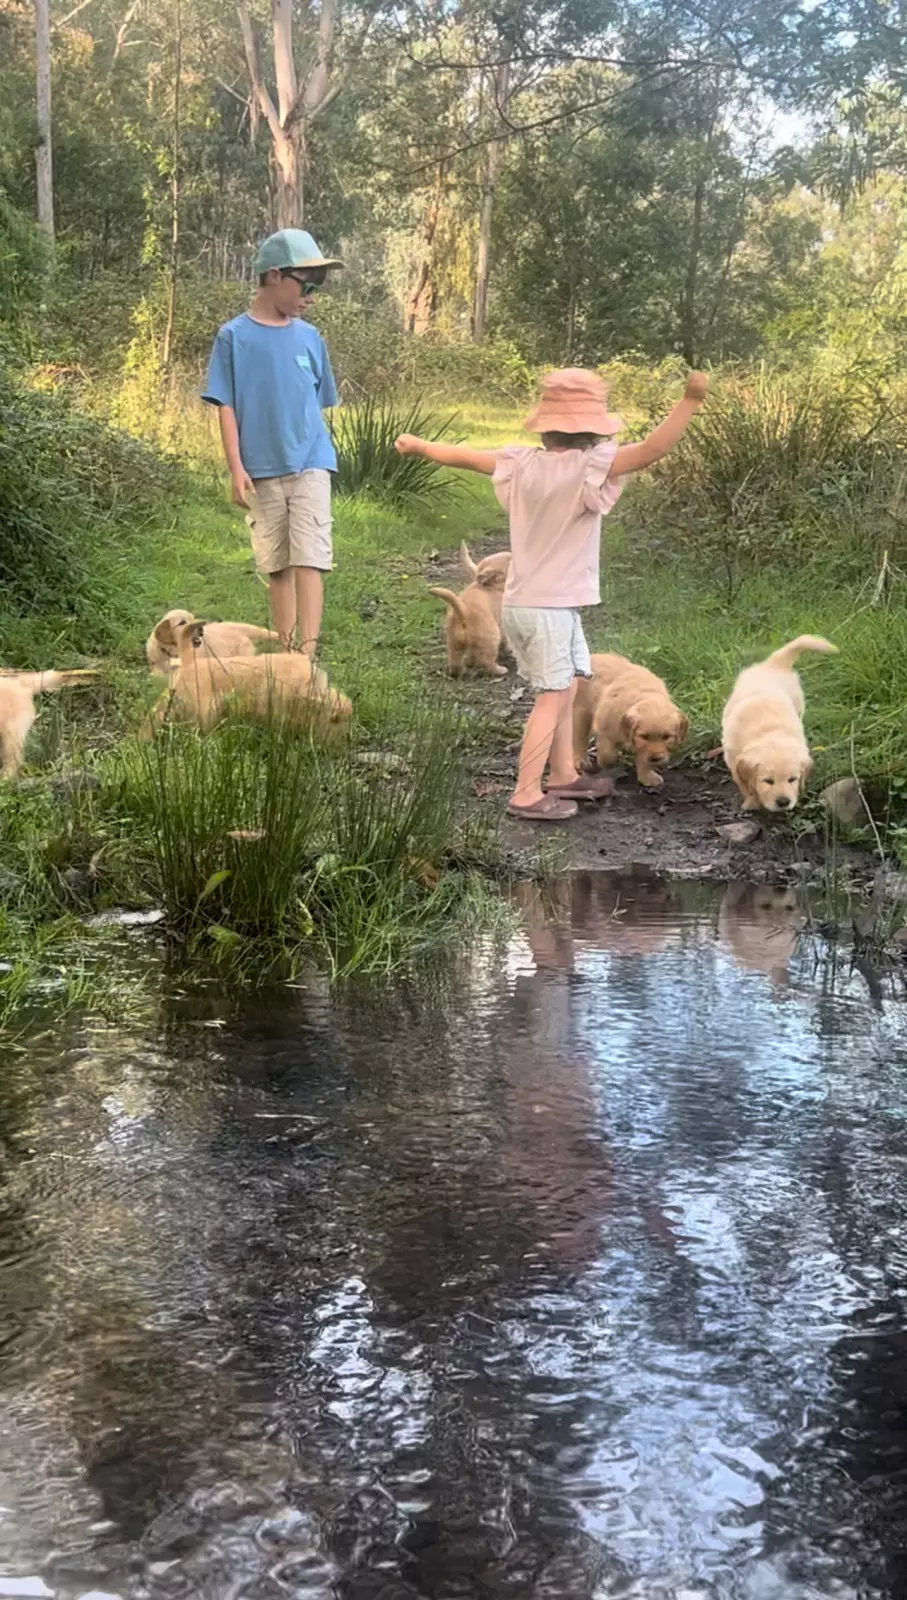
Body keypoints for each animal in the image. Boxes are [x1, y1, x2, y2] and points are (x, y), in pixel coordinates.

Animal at [146, 610, 280, 676]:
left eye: (193, 618)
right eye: (182, 622)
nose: (201, 629)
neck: (173, 652)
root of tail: (238, 628)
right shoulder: (154, 662)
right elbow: (156, 673)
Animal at [429, 544, 511, 677]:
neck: (491, 586)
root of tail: (463, 611)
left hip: (454, 643)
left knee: (455, 662)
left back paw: (459, 671)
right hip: (491, 638)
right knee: (487, 660)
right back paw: (500, 670)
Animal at [572, 653, 688, 788]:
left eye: (667, 737)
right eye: (644, 736)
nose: (656, 758)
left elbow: (643, 757)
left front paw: (647, 777)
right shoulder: (605, 729)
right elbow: (608, 755)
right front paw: (606, 763)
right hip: (580, 712)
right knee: (579, 738)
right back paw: (581, 760)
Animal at [722, 635, 837, 812]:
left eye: (792, 779)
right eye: (768, 781)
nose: (783, 802)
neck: (770, 731)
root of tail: (775, 664)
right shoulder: (732, 757)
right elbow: (742, 782)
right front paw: (751, 801)